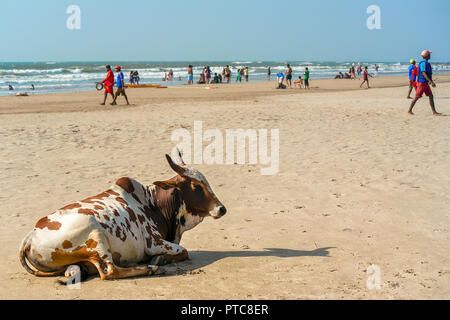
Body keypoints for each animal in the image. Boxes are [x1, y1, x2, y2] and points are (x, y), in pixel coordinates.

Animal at [19, 154, 227, 282]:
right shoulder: (154, 242)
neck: (154, 204)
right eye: (196, 186)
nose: (221, 209)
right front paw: (159, 260)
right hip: (96, 235)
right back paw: (150, 269)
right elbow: (184, 251)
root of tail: (30, 237)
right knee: (110, 271)